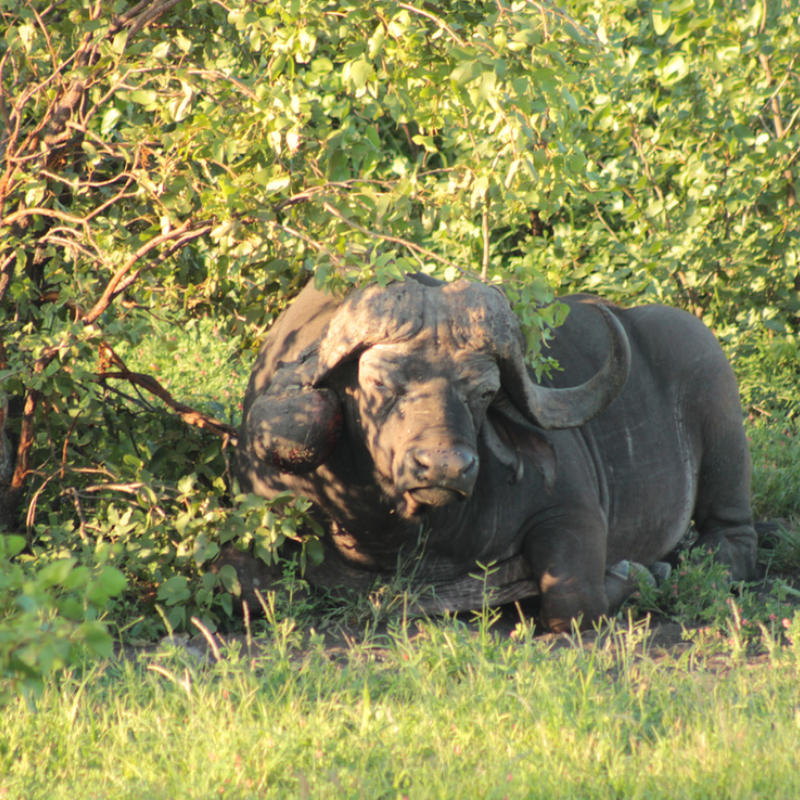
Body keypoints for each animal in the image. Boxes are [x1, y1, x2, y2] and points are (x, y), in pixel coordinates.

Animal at [234, 276, 760, 632]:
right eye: (379, 382)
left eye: (484, 393)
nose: (445, 466)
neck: (411, 536)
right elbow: (253, 591)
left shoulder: (571, 513)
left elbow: (574, 602)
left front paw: (642, 572)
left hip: (716, 397)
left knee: (732, 541)